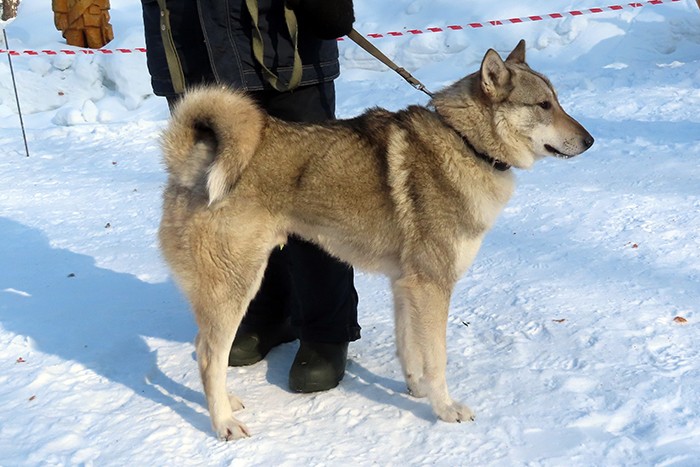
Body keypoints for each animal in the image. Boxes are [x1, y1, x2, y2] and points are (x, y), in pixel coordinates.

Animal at [158, 40, 594, 440]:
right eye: (543, 105)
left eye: (557, 100)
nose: (590, 140)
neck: (466, 142)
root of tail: (192, 161)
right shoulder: (432, 286)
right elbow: (437, 359)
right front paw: (445, 408)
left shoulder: (405, 284)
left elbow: (410, 348)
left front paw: (417, 389)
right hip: (237, 283)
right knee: (209, 356)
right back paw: (224, 422)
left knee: (204, 348)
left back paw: (228, 402)